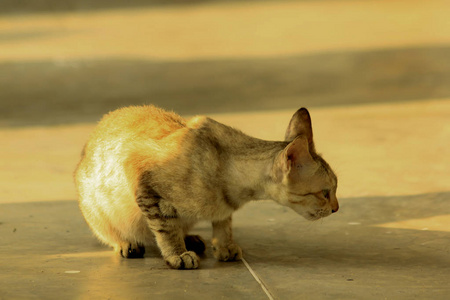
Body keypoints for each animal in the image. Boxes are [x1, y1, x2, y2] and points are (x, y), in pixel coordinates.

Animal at [75, 105, 340, 270]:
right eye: (325, 193)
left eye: (336, 189)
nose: (337, 208)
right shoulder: (142, 177)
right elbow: (164, 228)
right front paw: (176, 254)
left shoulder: (224, 208)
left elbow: (224, 223)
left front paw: (224, 246)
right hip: (93, 204)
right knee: (115, 232)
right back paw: (128, 243)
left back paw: (191, 238)